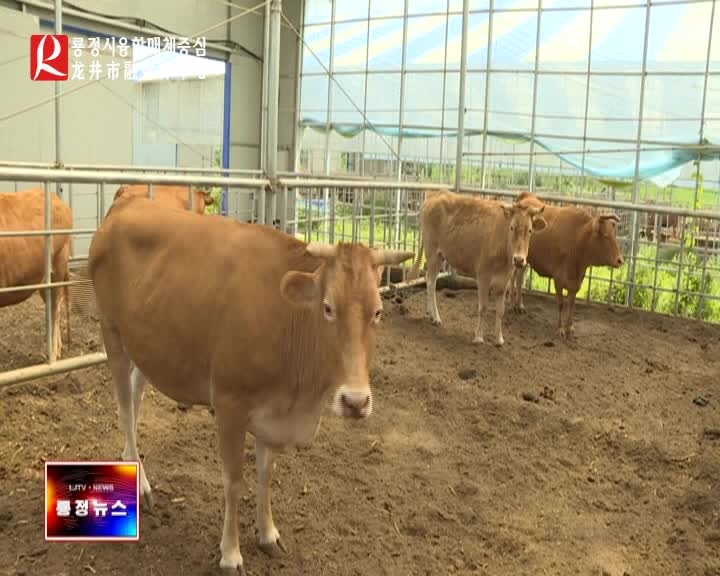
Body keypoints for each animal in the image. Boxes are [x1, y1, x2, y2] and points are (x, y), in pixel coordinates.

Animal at [87, 196, 414, 572]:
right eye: (328, 308)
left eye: (377, 312)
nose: (356, 402)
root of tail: (129, 200)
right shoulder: (229, 404)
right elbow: (233, 481)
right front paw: (231, 553)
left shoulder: (274, 412)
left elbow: (265, 474)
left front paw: (268, 533)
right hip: (112, 333)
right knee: (125, 409)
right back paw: (141, 485)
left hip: (148, 346)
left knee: (136, 396)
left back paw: (132, 466)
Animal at [408, 190, 548, 346]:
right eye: (512, 227)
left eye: (530, 230)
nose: (518, 259)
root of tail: (436, 193)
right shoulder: (483, 277)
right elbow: (483, 307)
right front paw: (479, 337)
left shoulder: (503, 281)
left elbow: (500, 310)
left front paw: (499, 339)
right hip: (432, 253)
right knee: (431, 284)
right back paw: (436, 317)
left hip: (439, 256)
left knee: (429, 280)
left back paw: (430, 314)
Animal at [506, 191, 624, 340]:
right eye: (606, 235)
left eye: (615, 236)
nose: (620, 260)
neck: (578, 238)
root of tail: (526, 195)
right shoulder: (558, 279)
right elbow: (561, 304)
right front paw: (560, 329)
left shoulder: (576, 281)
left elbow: (572, 304)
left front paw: (570, 328)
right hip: (516, 257)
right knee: (513, 277)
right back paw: (511, 304)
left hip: (524, 260)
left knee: (520, 278)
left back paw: (519, 306)